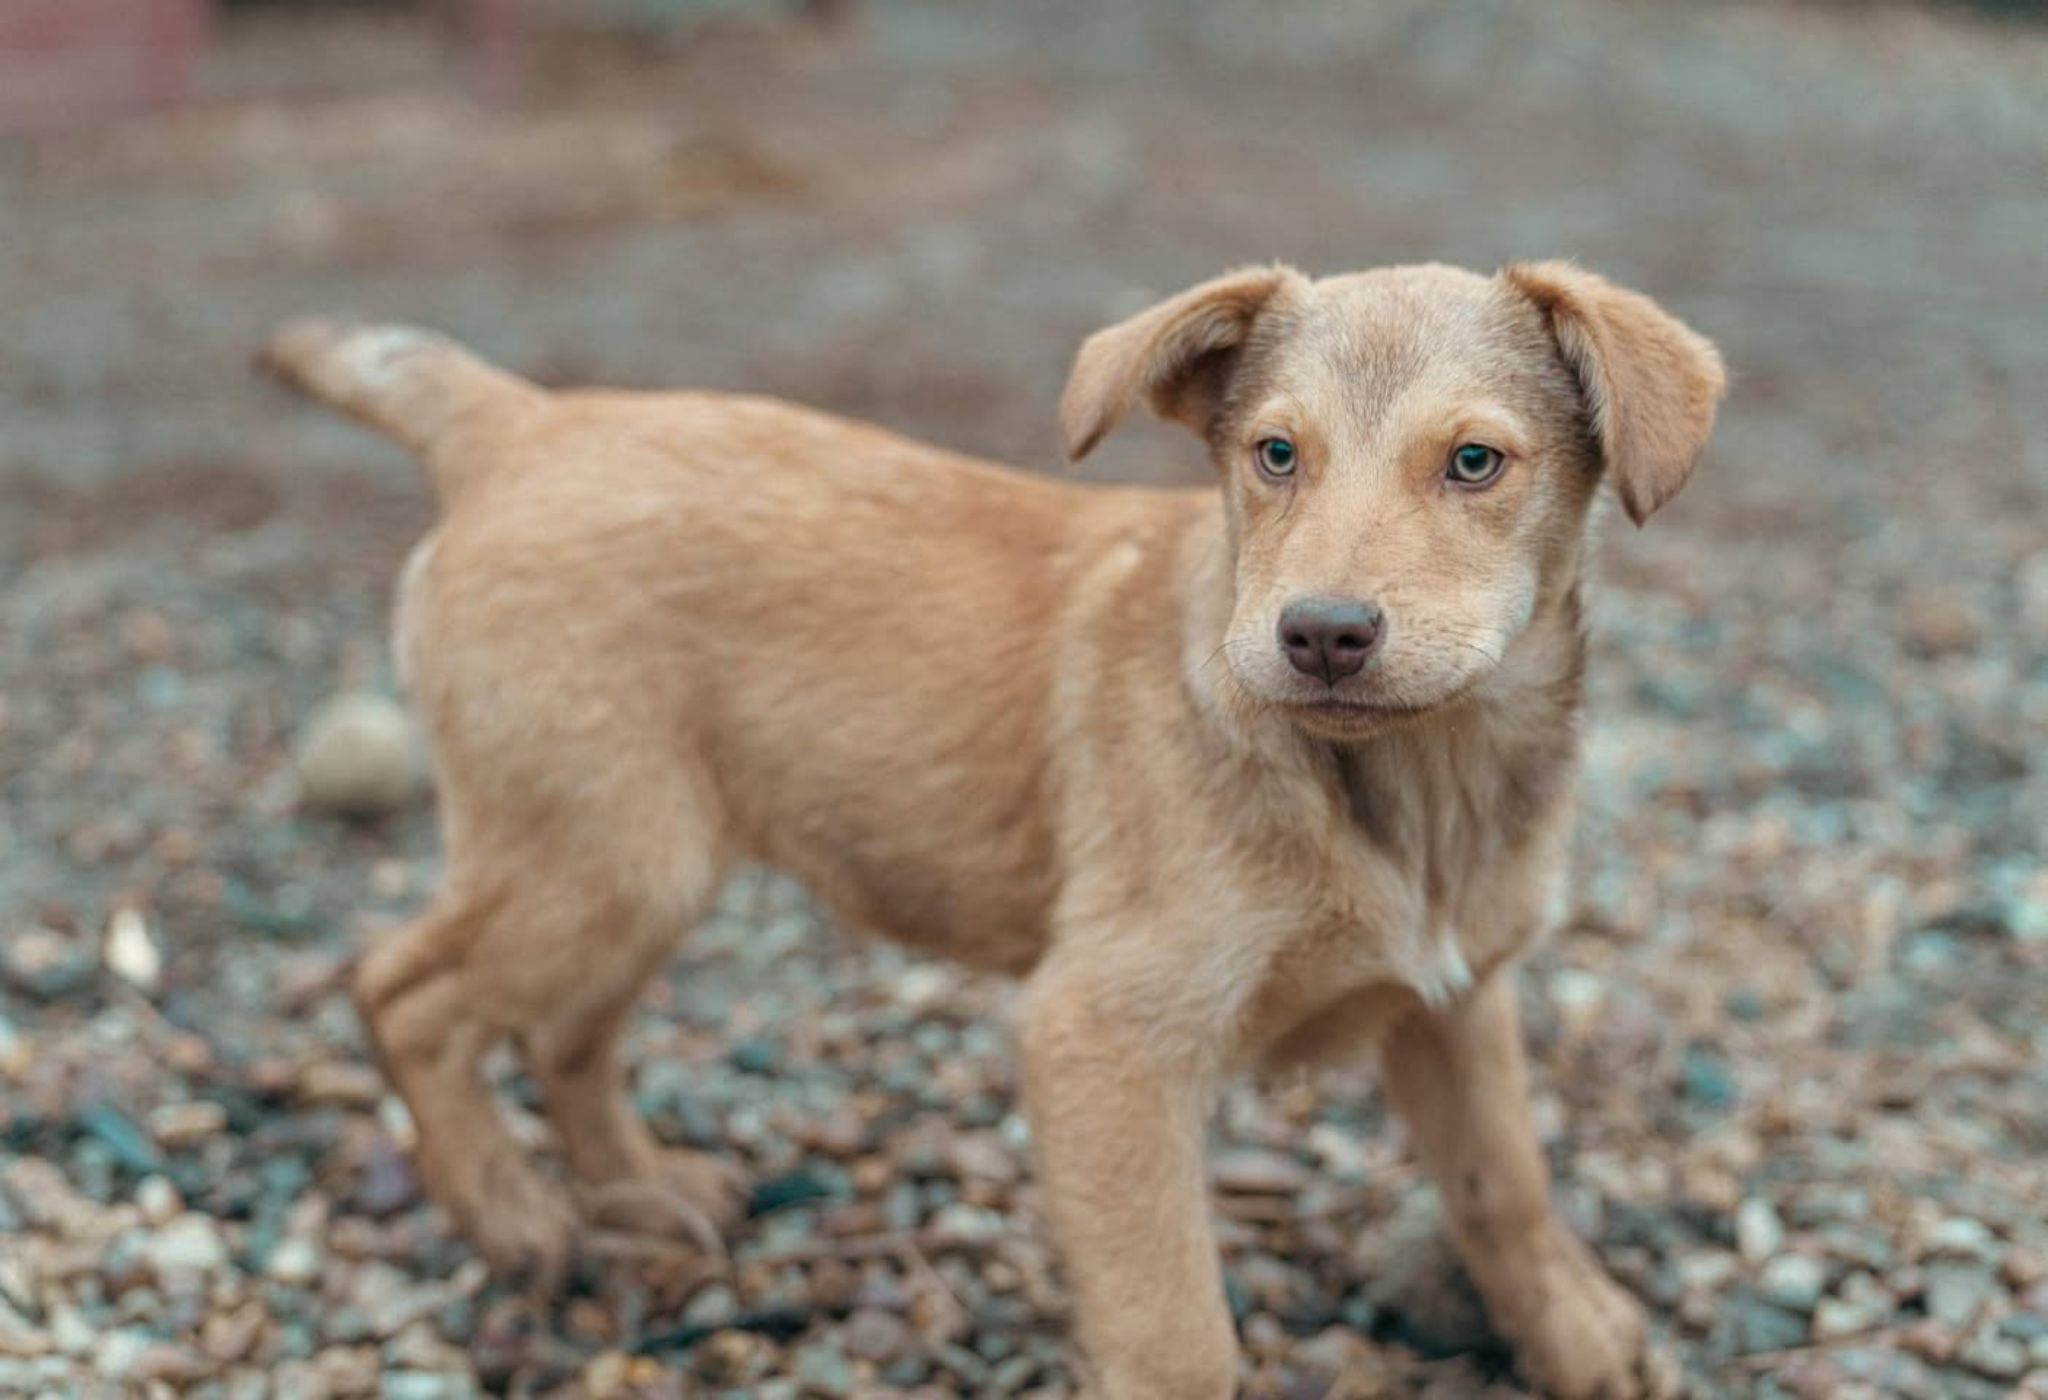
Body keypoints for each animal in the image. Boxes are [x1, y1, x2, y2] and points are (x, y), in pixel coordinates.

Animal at [264, 258, 1723, 1399]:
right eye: (1274, 455)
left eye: (1475, 462)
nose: (1318, 633)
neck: (1414, 786)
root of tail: (520, 424)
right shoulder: (1104, 1037)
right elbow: (1175, 1334)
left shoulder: (1458, 996)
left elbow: (1503, 1182)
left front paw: (1576, 1332)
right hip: (597, 854)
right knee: (405, 991)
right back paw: (513, 1215)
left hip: (636, 862)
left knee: (563, 1031)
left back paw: (637, 1187)